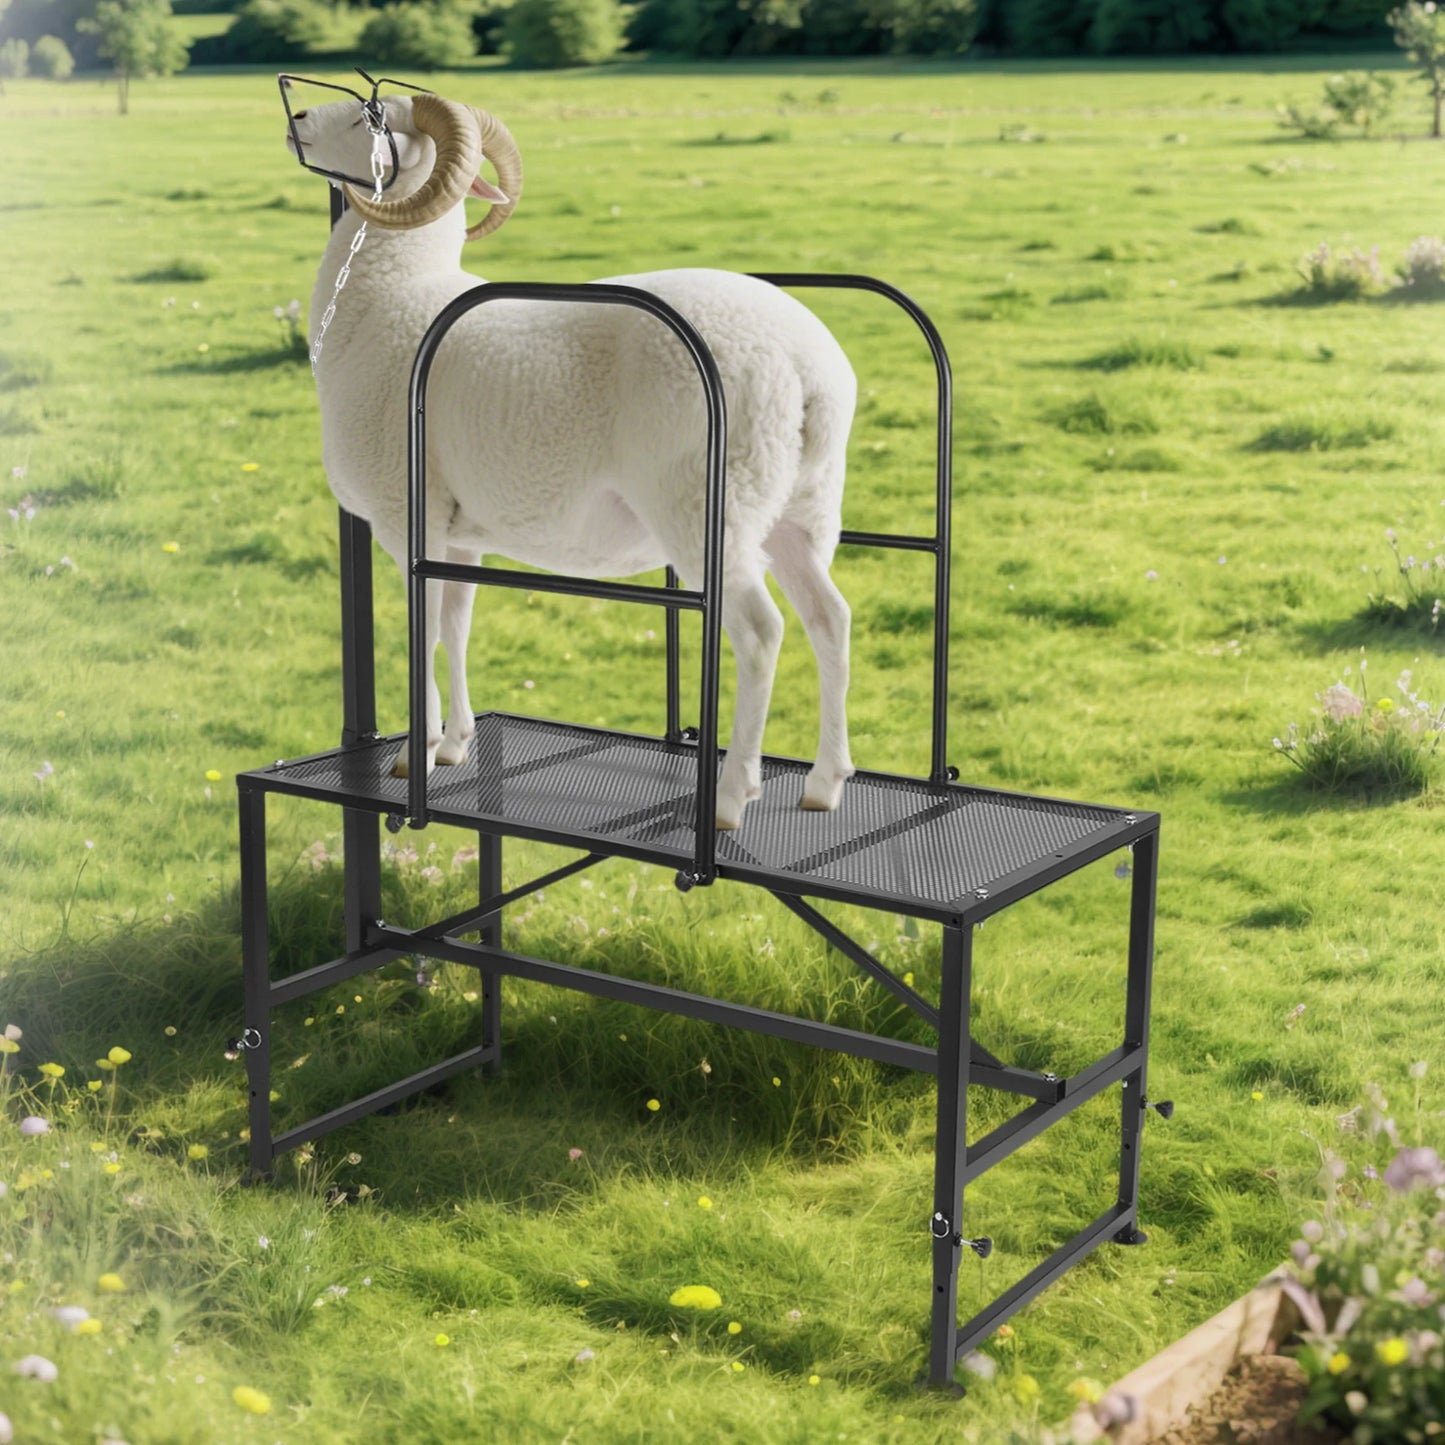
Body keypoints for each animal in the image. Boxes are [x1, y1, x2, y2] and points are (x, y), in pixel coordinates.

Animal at [284, 92, 857, 832]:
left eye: (369, 118)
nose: (296, 119)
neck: (390, 296)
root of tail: (804, 366)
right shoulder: (457, 533)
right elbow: (456, 625)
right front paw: (455, 743)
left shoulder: (406, 518)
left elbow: (423, 631)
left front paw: (415, 754)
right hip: (797, 508)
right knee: (829, 619)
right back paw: (826, 781)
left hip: (708, 509)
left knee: (761, 633)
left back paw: (733, 796)